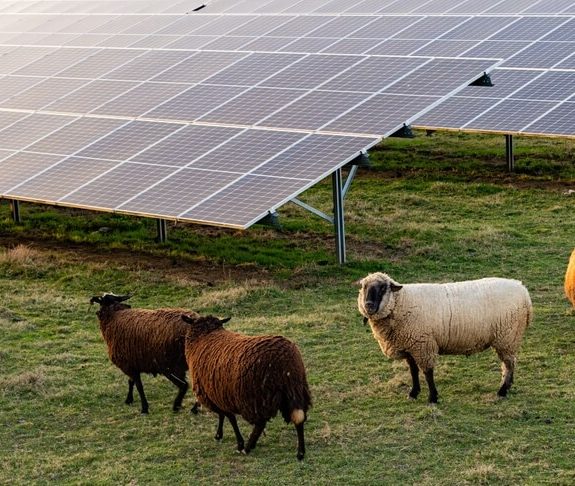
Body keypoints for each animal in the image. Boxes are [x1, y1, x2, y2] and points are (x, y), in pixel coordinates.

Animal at [183, 314, 310, 462]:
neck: (206, 335)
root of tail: (287, 361)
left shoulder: (215, 395)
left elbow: (229, 417)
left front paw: (238, 442)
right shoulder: (218, 394)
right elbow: (224, 415)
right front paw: (220, 435)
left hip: (257, 398)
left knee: (260, 424)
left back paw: (248, 447)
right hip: (296, 391)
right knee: (299, 419)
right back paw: (300, 452)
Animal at [358, 274, 532, 402]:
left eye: (383, 288)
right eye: (364, 287)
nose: (368, 305)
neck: (401, 302)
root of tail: (522, 289)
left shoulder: (423, 344)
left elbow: (428, 373)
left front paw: (432, 398)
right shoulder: (410, 346)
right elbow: (413, 371)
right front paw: (414, 393)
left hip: (507, 336)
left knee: (509, 364)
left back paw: (502, 390)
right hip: (508, 338)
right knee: (510, 363)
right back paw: (507, 387)